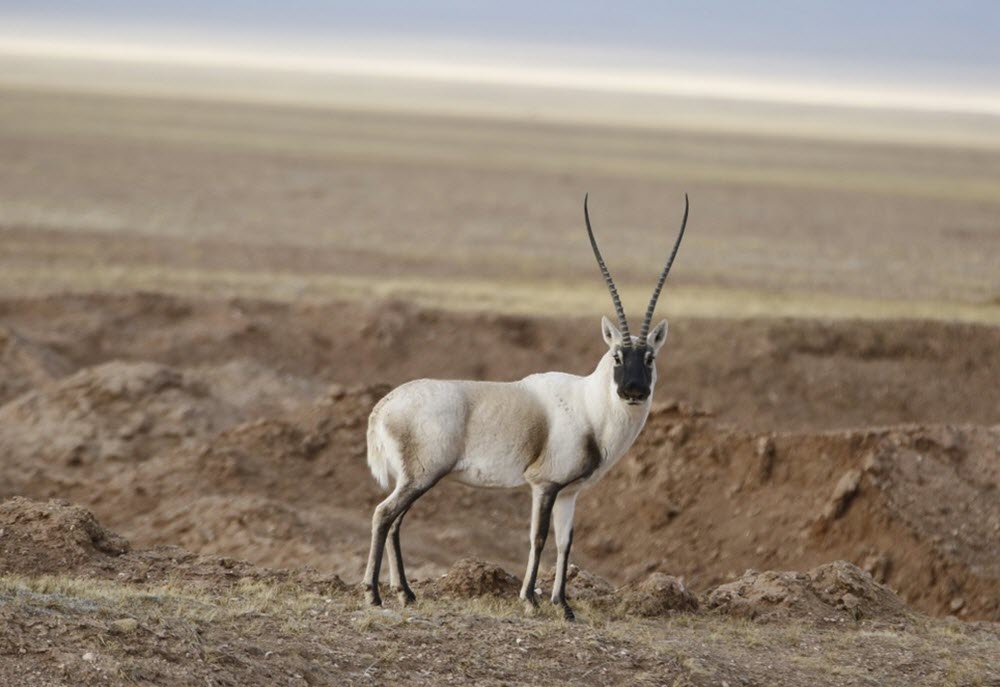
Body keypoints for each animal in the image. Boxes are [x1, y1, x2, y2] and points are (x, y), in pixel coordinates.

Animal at [364, 192, 692, 620]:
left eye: (649, 357)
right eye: (617, 356)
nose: (633, 390)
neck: (590, 406)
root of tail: (382, 407)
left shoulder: (570, 493)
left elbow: (566, 543)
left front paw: (564, 606)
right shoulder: (544, 484)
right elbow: (538, 538)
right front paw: (530, 600)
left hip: (416, 479)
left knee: (396, 522)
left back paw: (405, 593)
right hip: (422, 476)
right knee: (384, 515)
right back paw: (373, 594)